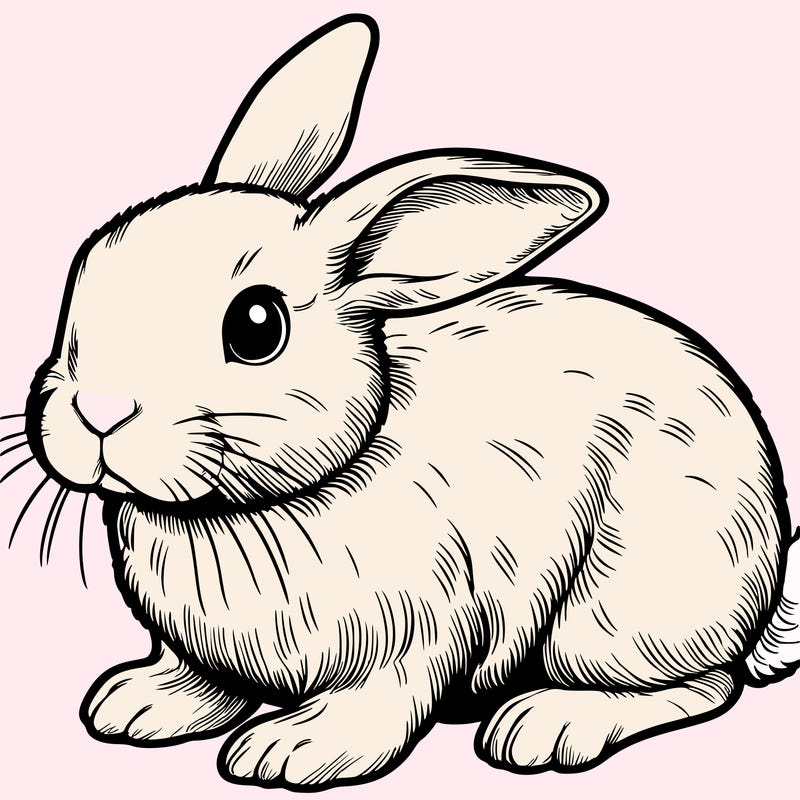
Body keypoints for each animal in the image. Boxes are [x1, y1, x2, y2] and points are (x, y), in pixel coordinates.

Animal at [14, 12, 800, 791]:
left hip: (618, 614)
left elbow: (380, 701)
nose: (99, 410)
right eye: (84, 273)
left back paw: (545, 725)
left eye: (257, 326)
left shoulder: (418, 631)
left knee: (704, 685)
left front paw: (292, 751)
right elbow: (203, 681)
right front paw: (137, 704)